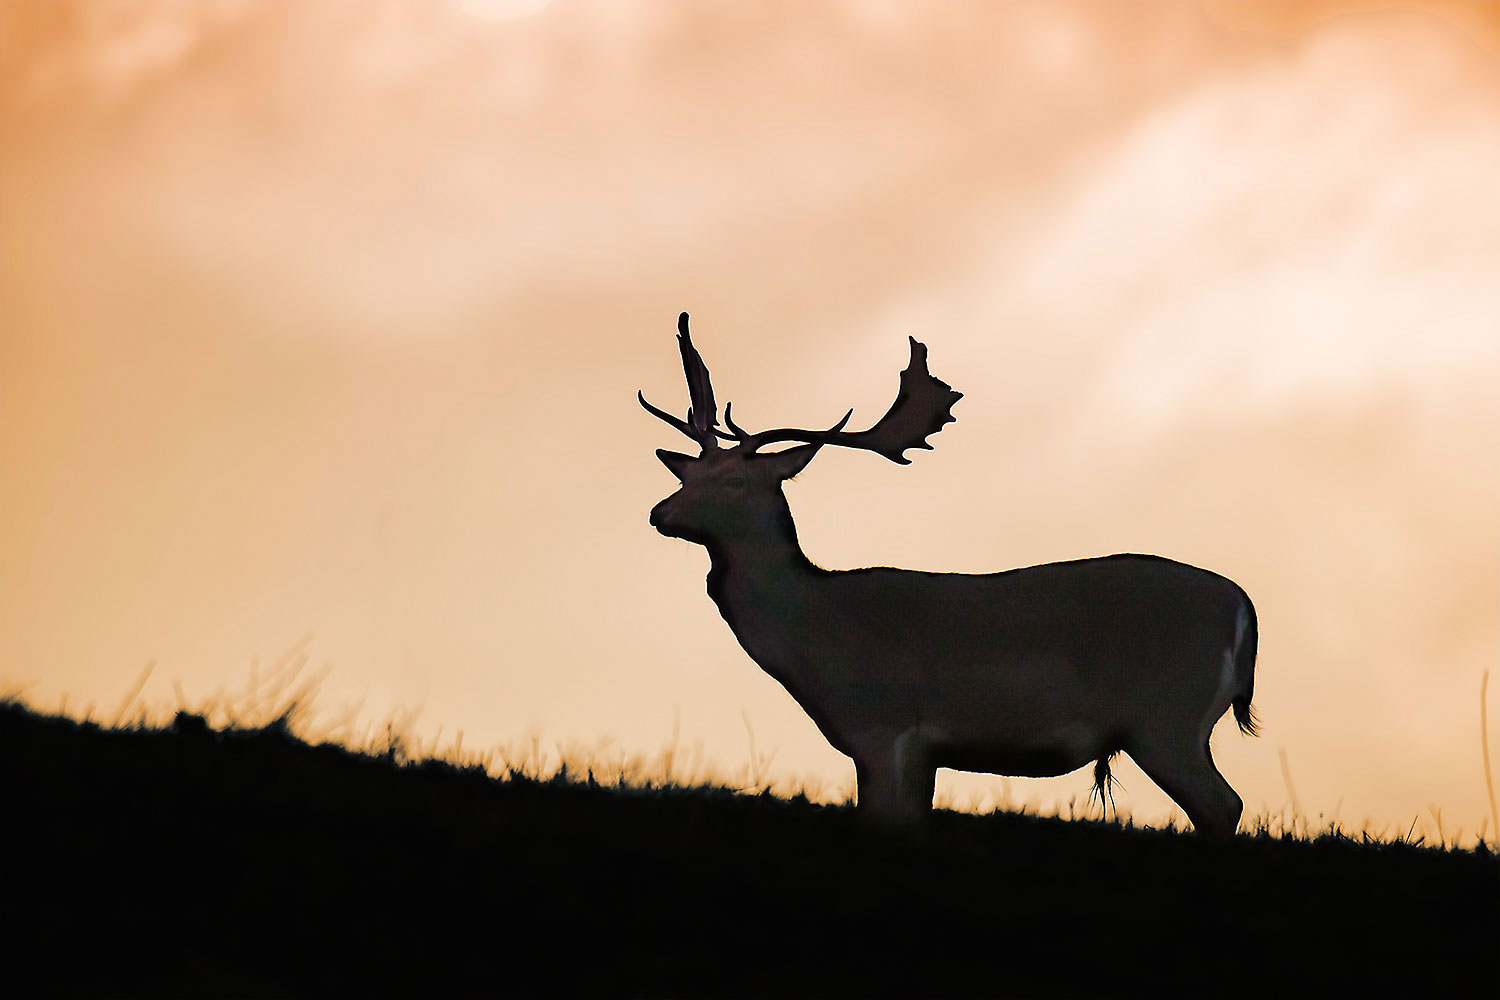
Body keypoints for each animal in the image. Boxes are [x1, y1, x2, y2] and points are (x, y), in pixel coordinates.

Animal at [640, 313, 1259, 838]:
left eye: (735, 481)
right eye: (688, 474)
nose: (659, 513)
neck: (819, 636)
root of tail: (1243, 608)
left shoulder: (883, 726)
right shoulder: (919, 751)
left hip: (1167, 715)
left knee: (1223, 804)